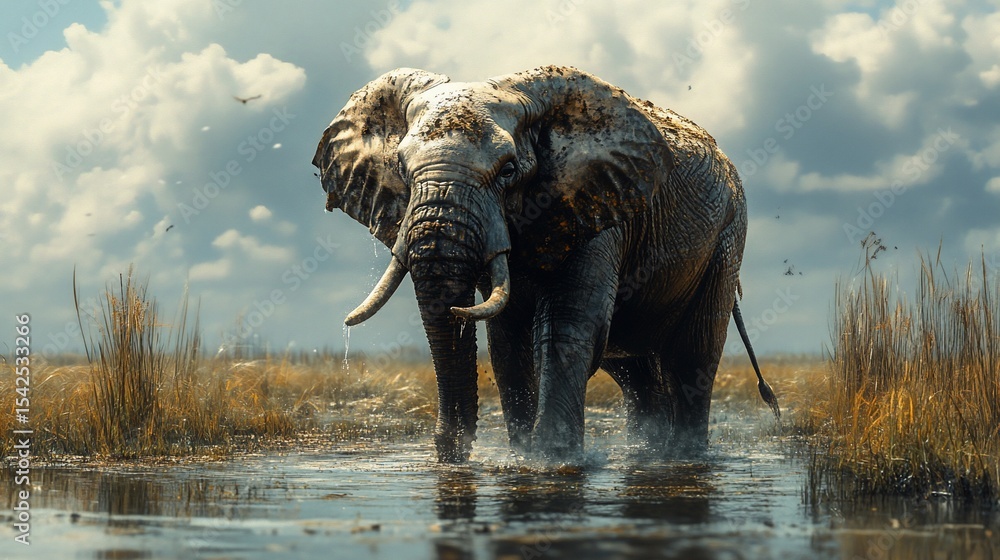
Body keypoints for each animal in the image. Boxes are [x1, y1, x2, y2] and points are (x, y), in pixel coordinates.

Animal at [312, 65, 779, 463]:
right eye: (402, 170)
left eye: (508, 171)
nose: (448, 452)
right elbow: (507, 341)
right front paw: (523, 457)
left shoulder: (597, 205)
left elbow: (564, 326)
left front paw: (553, 460)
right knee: (635, 372)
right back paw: (646, 453)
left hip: (726, 237)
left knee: (693, 355)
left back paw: (684, 456)